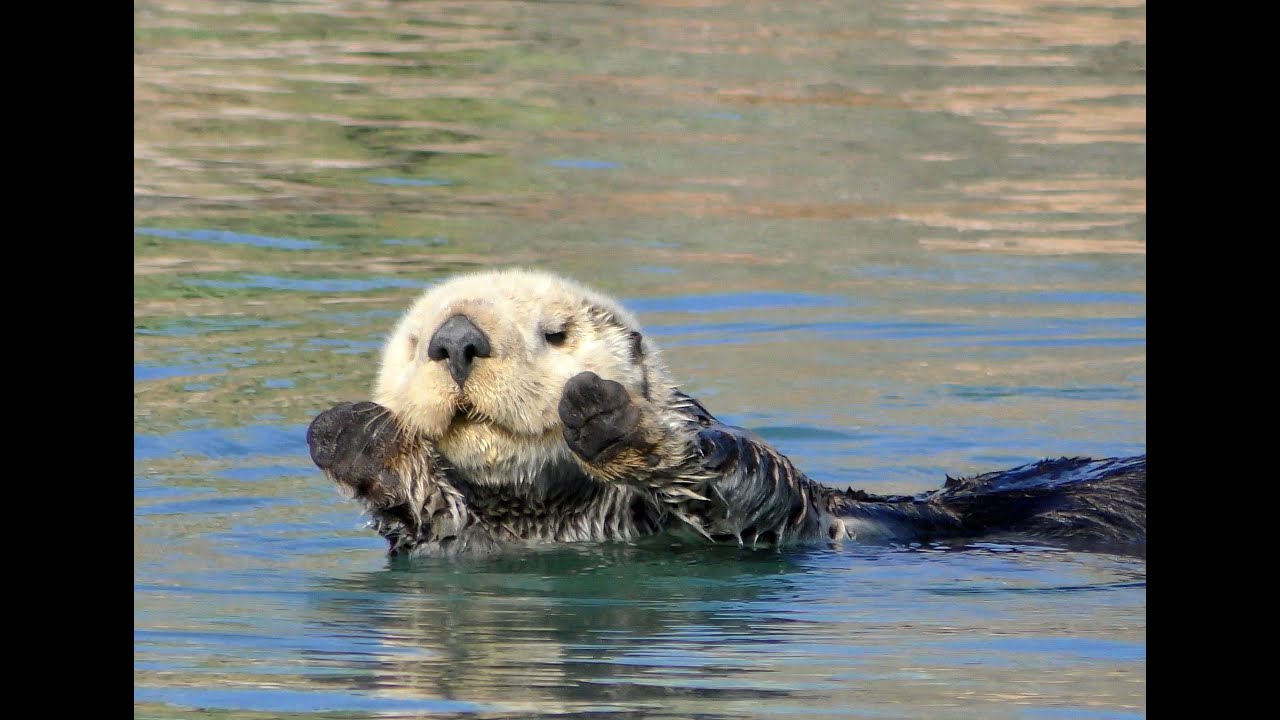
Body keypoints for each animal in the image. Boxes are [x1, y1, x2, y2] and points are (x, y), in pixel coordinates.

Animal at [307, 269, 1145, 557]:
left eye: (556, 333)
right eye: (414, 341)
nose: (455, 341)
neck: (548, 517)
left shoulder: (778, 515)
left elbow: (732, 475)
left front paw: (607, 411)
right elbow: (421, 508)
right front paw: (352, 432)